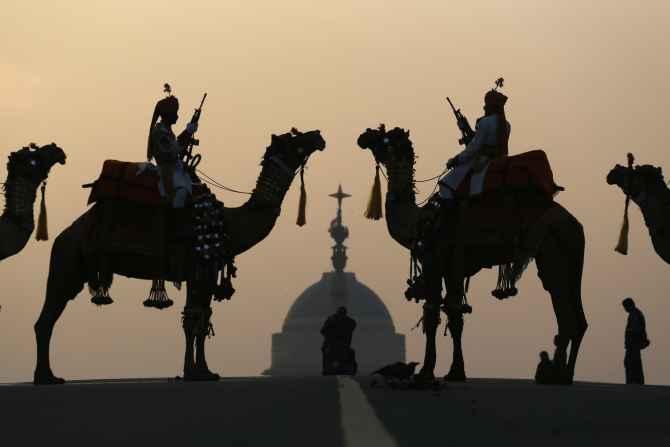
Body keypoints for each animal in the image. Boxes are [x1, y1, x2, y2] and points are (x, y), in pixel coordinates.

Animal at [35, 130, 326, 384]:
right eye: (294, 139)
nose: (318, 136)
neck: (228, 223)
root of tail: (62, 236)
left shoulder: (204, 273)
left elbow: (201, 317)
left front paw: (203, 371)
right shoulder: (200, 269)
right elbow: (194, 320)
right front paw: (193, 373)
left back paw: (48, 376)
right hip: (67, 262)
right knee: (46, 319)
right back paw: (46, 377)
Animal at [356, 126, 588, 384]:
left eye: (384, 136)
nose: (363, 136)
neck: (419, 221)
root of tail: (575, 225)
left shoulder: (436, 260)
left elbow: (434, 312)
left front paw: (427, 372)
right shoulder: (454, 268)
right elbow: (454, 313)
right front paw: (455, 371)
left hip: (551, 254)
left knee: (565, 313)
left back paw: (556, 374)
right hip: (570, 257)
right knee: (577, 318)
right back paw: (564, 373)